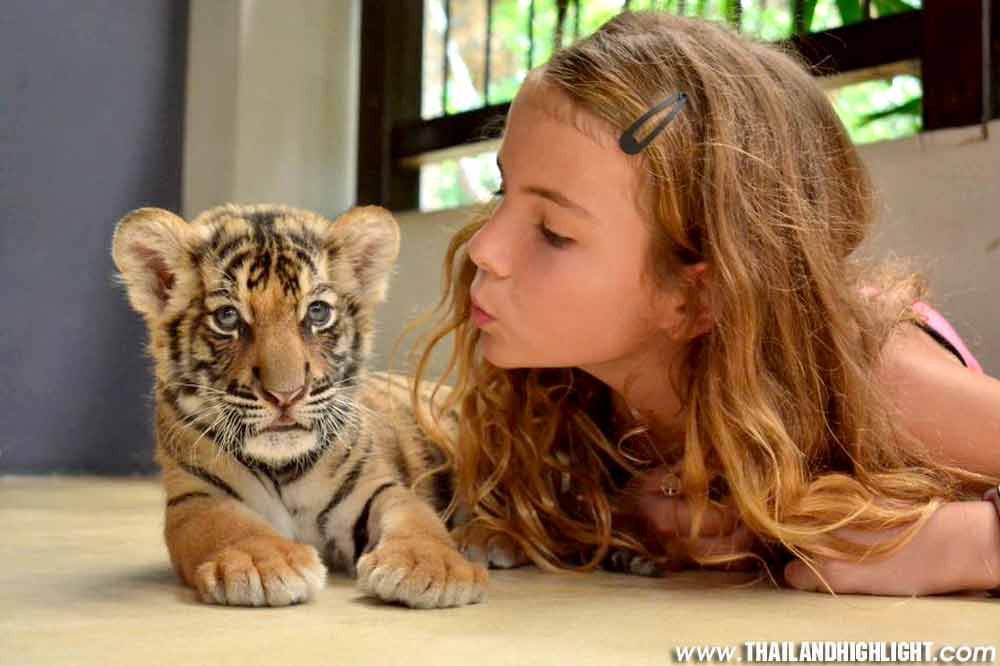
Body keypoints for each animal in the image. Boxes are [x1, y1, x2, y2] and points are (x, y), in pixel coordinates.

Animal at [111, 203, 499, 608]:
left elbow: (416, 517)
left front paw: (431, 567)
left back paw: (483, 540)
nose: (286, 395)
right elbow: (227, 525)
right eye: (227, 318)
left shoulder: (374, 487)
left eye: (317, 312)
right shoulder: (197, 497)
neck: (280, 467)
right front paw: (263, 563)